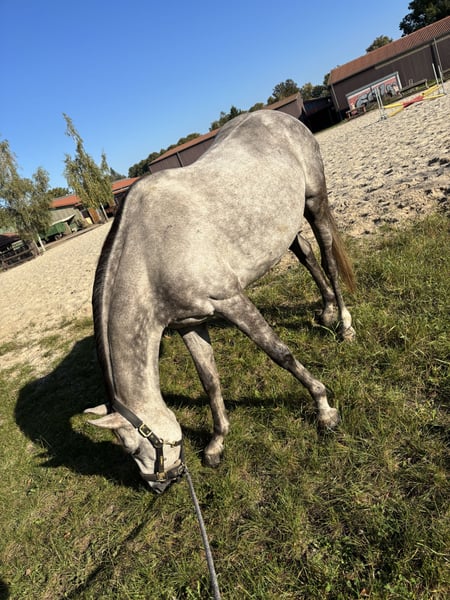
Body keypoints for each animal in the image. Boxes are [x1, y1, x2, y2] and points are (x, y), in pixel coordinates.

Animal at [85, 110, 355, 494]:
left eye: (134, 448)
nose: (159, 486)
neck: (152, 253)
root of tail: (279, 116)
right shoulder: (190, 324)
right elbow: (209, 381)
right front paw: (217, 443)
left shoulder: (231, 301)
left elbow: (280, 353)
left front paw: (324, 407)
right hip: (282, 225)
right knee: (305, 254)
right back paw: (328, 310)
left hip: (314, 201)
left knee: (328, 258)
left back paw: (344, 324)